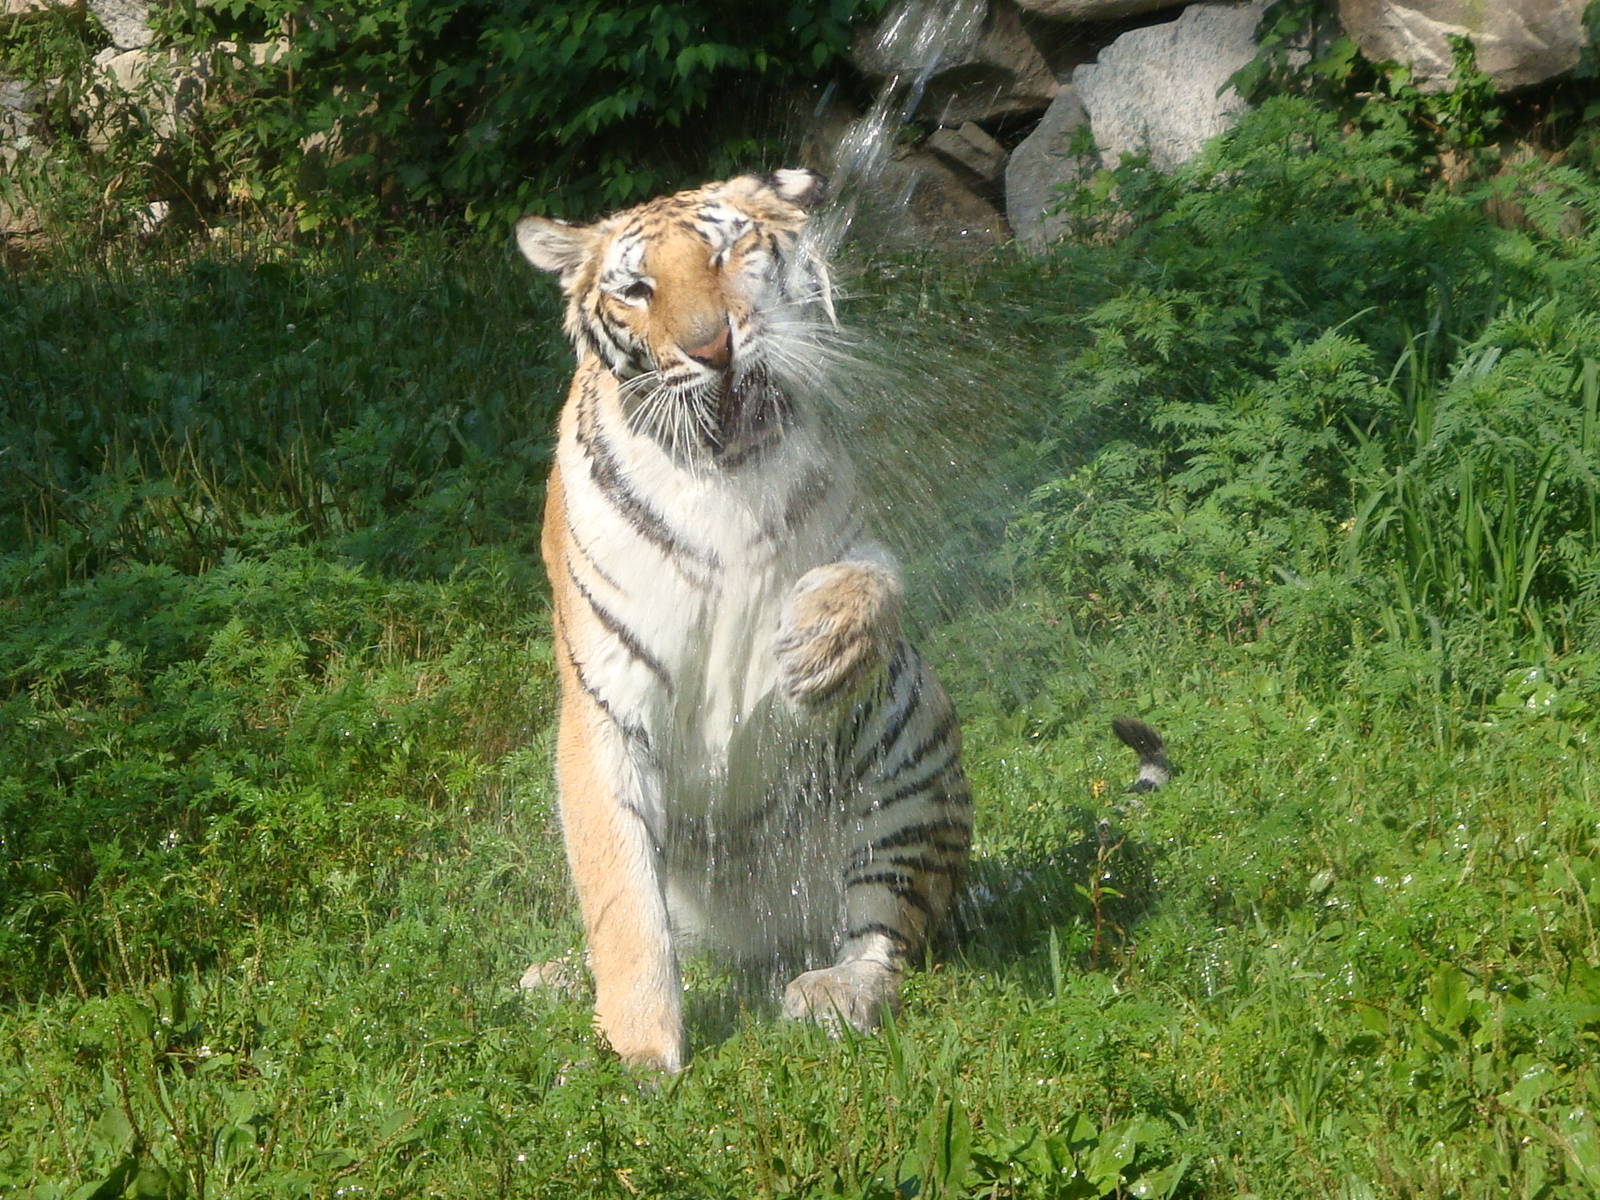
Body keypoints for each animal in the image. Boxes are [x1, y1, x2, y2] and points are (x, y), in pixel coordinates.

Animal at [514, 168, 972, 1072]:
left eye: (724, 253)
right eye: (636, 289)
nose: (711, 348)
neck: (719, 459)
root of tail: (757, 938)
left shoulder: (853, 531)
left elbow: (876, 577)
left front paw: (820, 645)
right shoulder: (605, 703)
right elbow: (621, 899)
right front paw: (642, 1055)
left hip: (910, 736)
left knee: (887, 931)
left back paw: (839, 991)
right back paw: (557, 980)